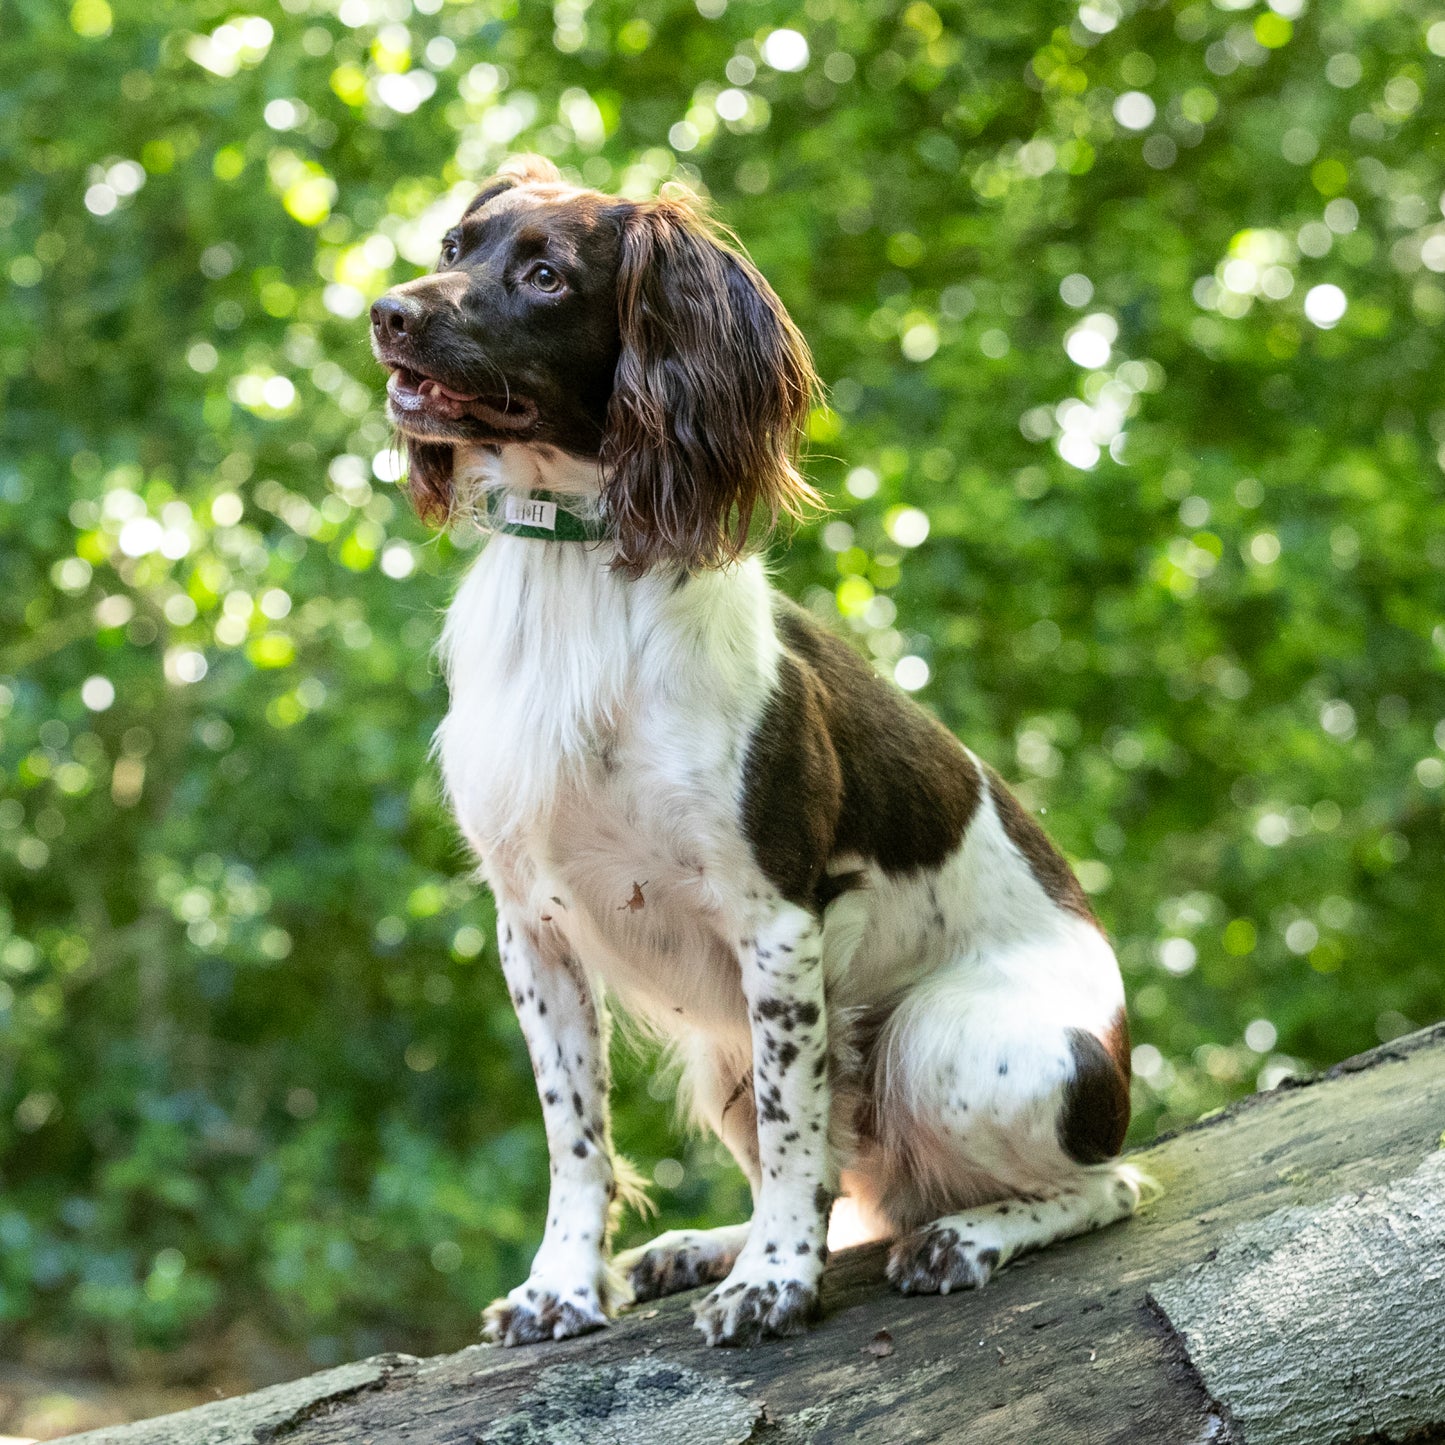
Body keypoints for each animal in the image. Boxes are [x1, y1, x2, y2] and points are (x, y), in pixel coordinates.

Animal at [367, 152, 1132, 1346]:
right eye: (453, 246)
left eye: (545, 275)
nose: (387, 312)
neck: (577, 576)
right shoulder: (530, 928)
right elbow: (575, 1136)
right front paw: (562, 1286)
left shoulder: (775, 920)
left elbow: (791, 1128)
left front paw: (775, 1280)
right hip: (722, 1049)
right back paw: (701, 1245)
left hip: (942, 1041)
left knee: (1103, 1183)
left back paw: (963, 1237)